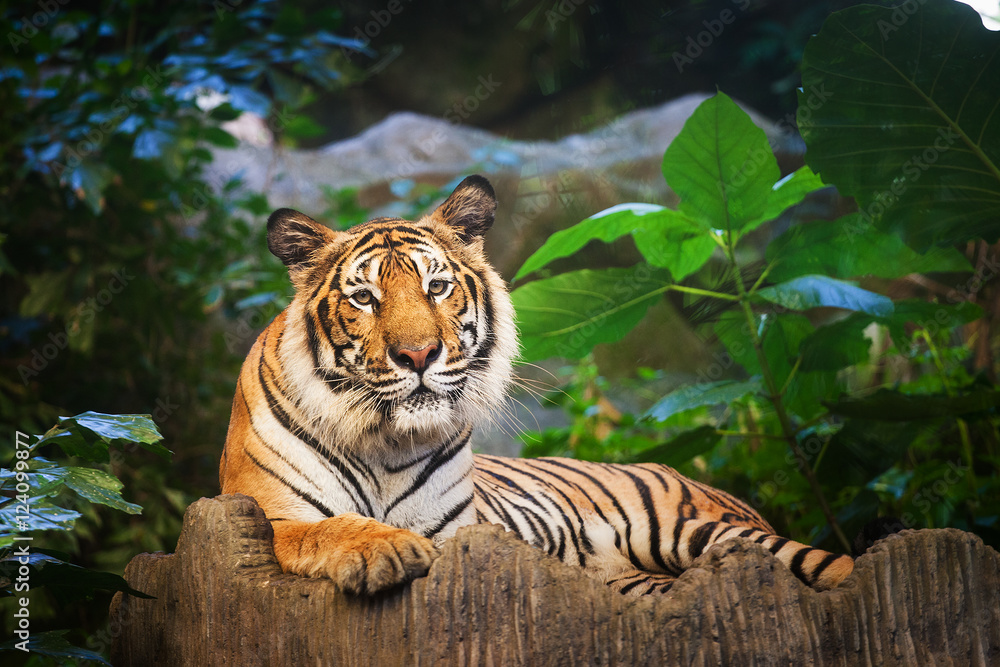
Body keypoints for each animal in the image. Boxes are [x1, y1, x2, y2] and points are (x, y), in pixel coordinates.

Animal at [219, 175, 854, 596]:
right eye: (364, 298)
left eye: (437, 287)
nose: (419, 355)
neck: (387, 445)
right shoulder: (266, 515)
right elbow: (325, 530)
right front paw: (385, 547)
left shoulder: (460, 533)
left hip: (691, 527)